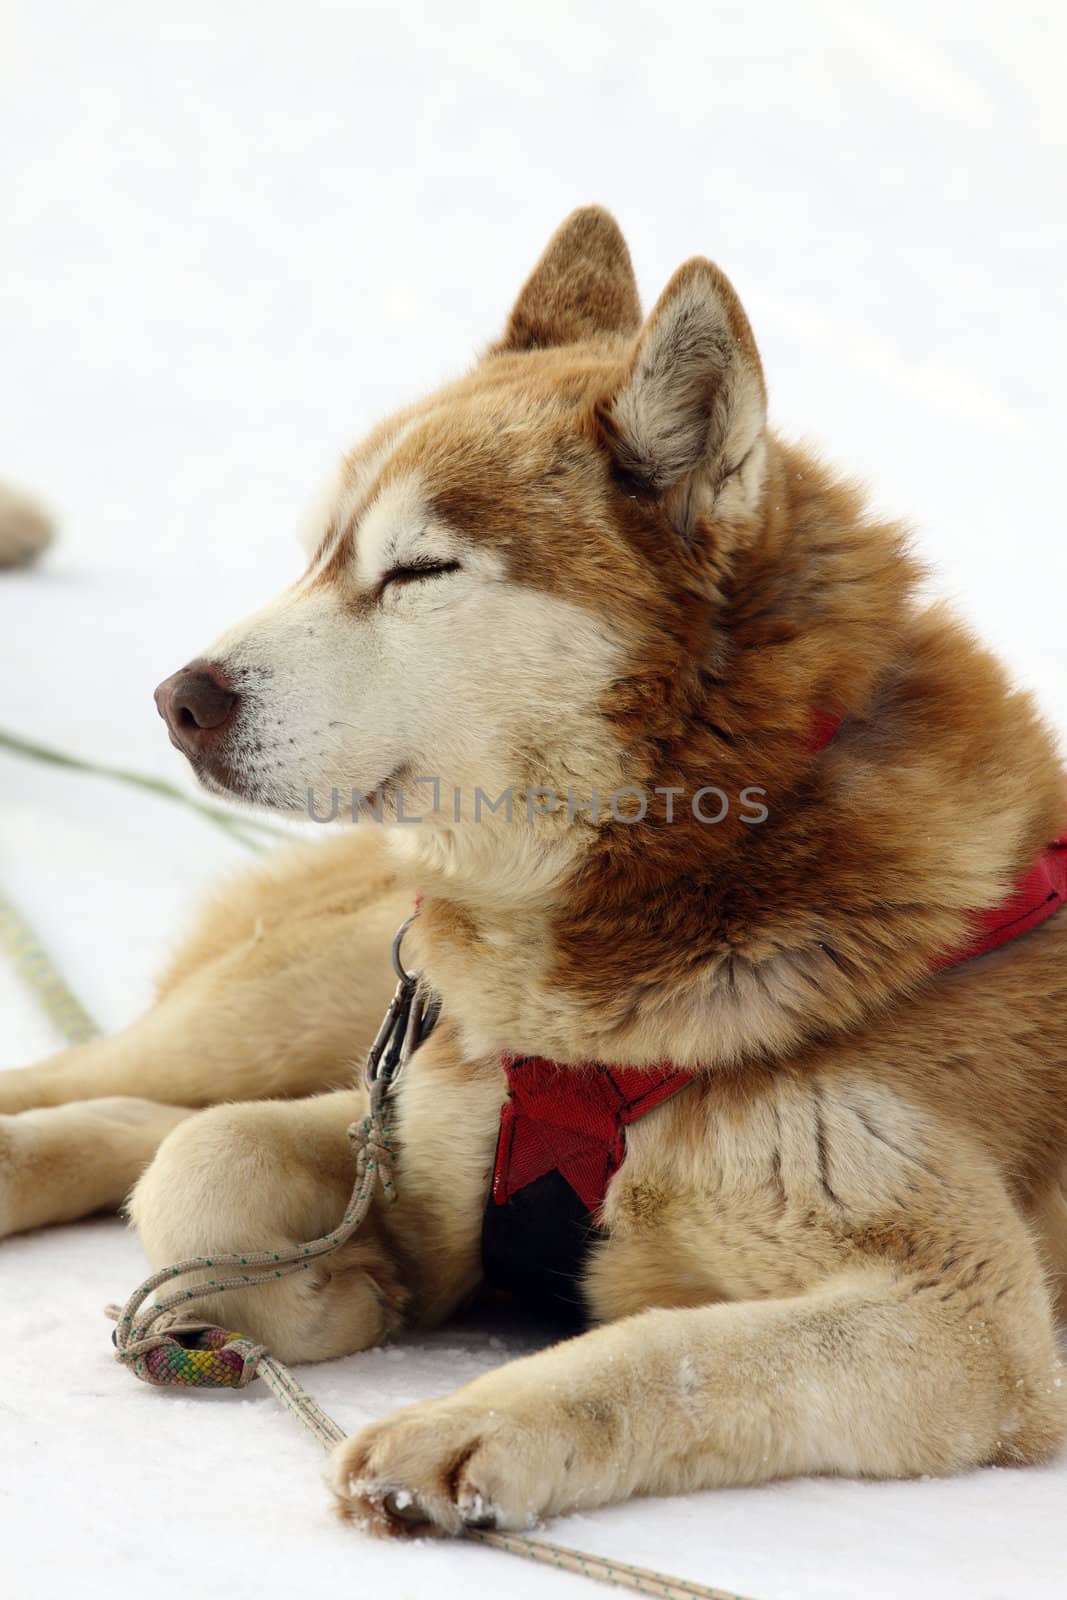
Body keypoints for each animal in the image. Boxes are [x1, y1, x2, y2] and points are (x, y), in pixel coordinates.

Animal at [2, 206, 1067, 1529]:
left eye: (416, 570)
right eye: (316, 554)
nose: (176, 700)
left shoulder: (968, 1321)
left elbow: (673, 1353)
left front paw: (469, 1421)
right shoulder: (418, 1116)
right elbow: (208, 1163)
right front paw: (331, 1289)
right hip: (295, 1008)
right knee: (115, 1088)